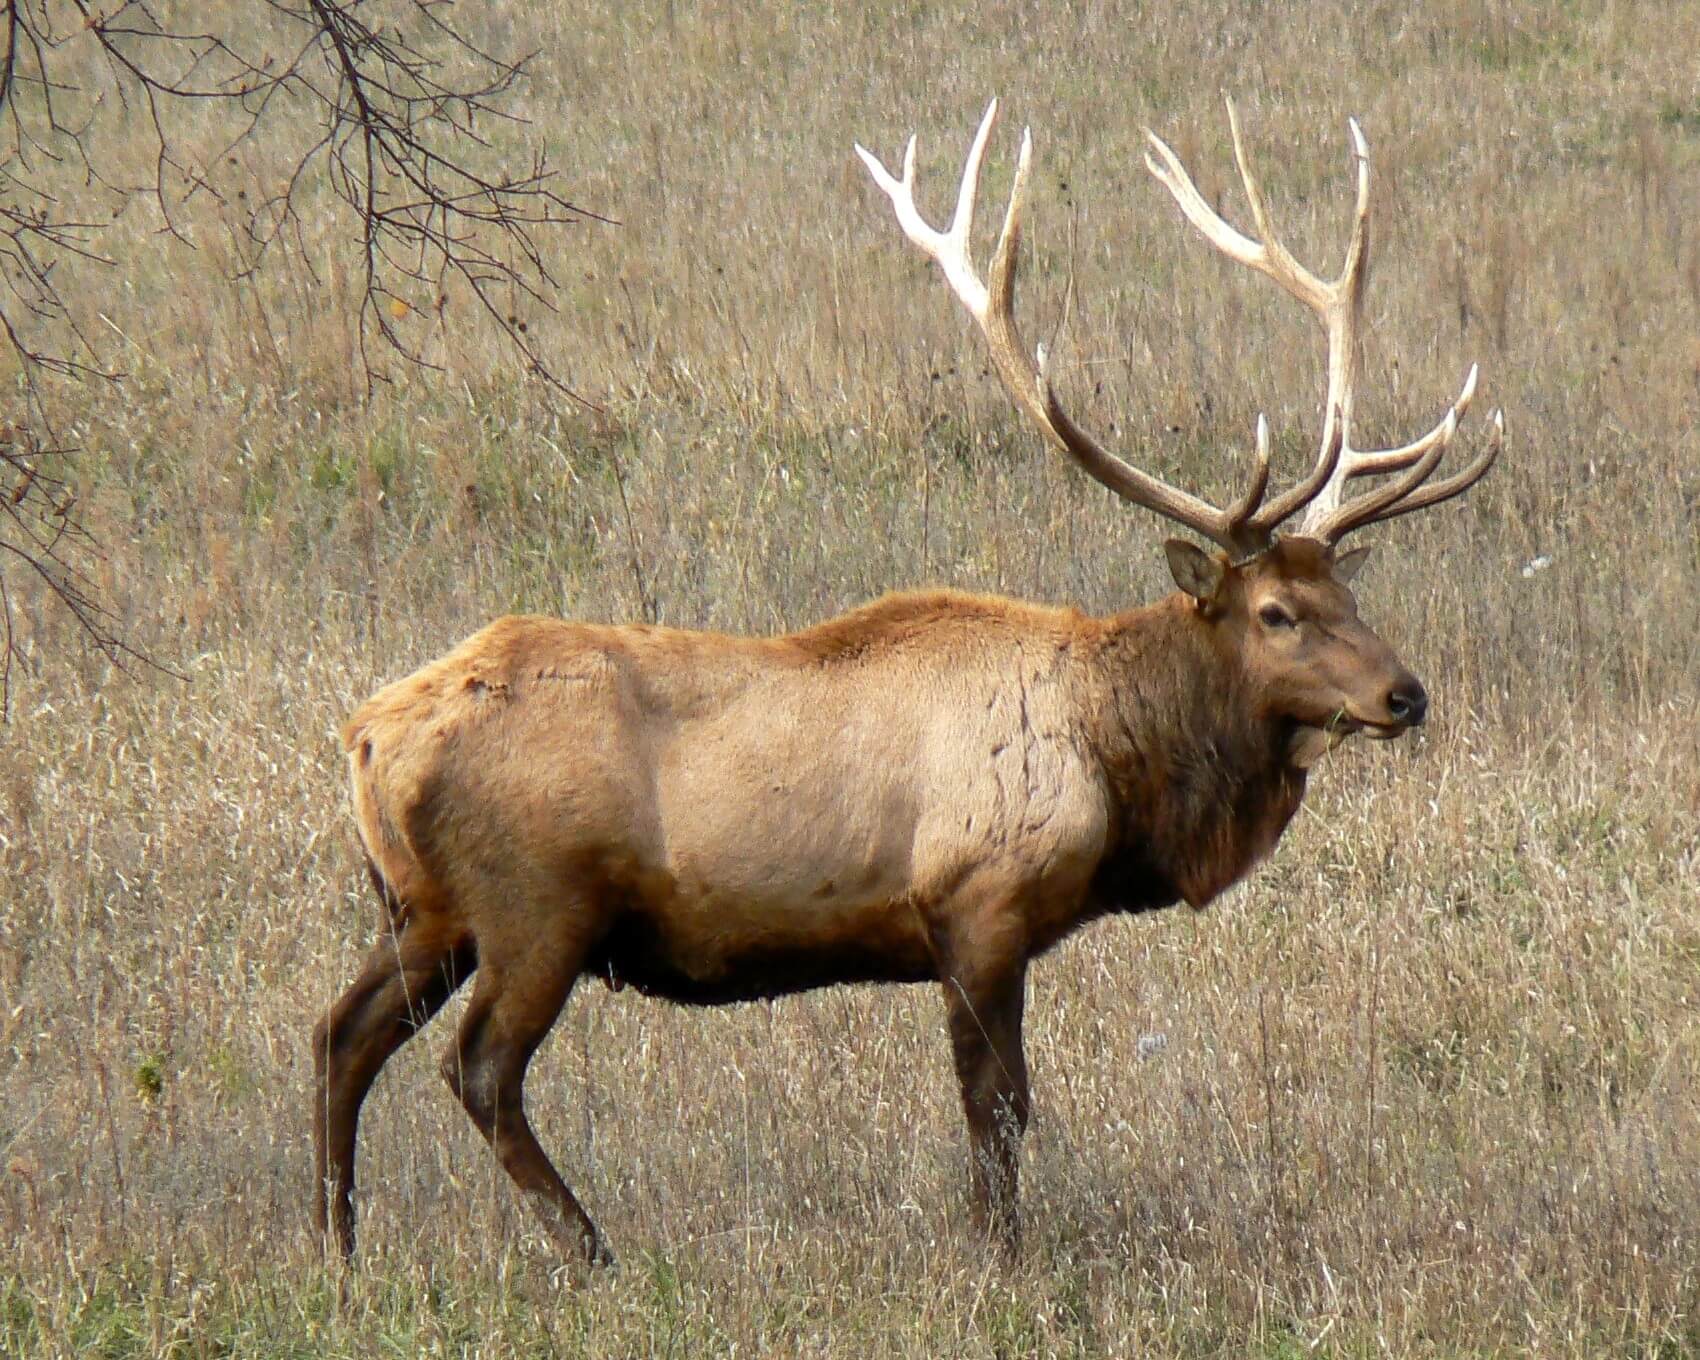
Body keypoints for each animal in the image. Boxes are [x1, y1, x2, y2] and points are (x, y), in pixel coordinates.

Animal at [312, 99, 1502, 1266]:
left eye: (1348, 591)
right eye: (1275, 614)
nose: (1404, 694)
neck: (1119, 768)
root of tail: (366, 735)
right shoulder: (976, 902)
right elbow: (998, 1106)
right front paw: (999, 1257)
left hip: (426, 908)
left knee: (339, 1034)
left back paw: (338, 1245)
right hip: (535, 902)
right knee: (477, 1066)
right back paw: (591, 1249)